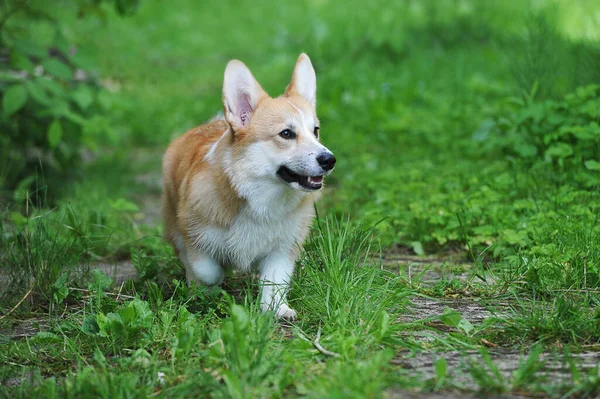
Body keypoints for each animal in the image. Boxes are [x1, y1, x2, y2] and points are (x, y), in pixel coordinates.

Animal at [162, 54, 336, 320]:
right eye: (286, 133)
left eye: (315, 131)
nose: (329, 160)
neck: (260, 196)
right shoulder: (195, 237)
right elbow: (207, 270)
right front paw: (205, 287)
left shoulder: (282, 248)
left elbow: (275, 281)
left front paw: (276, 308)